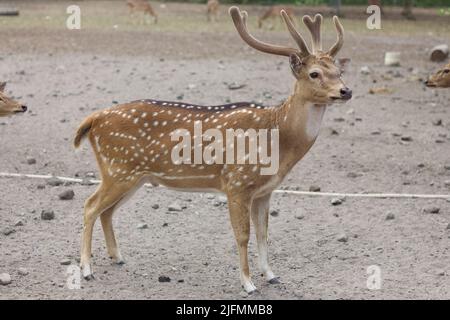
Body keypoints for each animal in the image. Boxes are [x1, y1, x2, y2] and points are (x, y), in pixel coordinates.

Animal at [74, 6, 352, 294]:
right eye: (314, 73)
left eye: (338, 70)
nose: (346, 91)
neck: (278, 139)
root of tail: (93, 119)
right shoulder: (237, 182)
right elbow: (243, 235)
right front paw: (248, 283)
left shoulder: (265, 190)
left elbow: (263, 234)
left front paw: (271, 275)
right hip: (118, 169)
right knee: (89, 206)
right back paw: (86, 269)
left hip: (133, 176)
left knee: (106, 211)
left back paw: (117, 257)